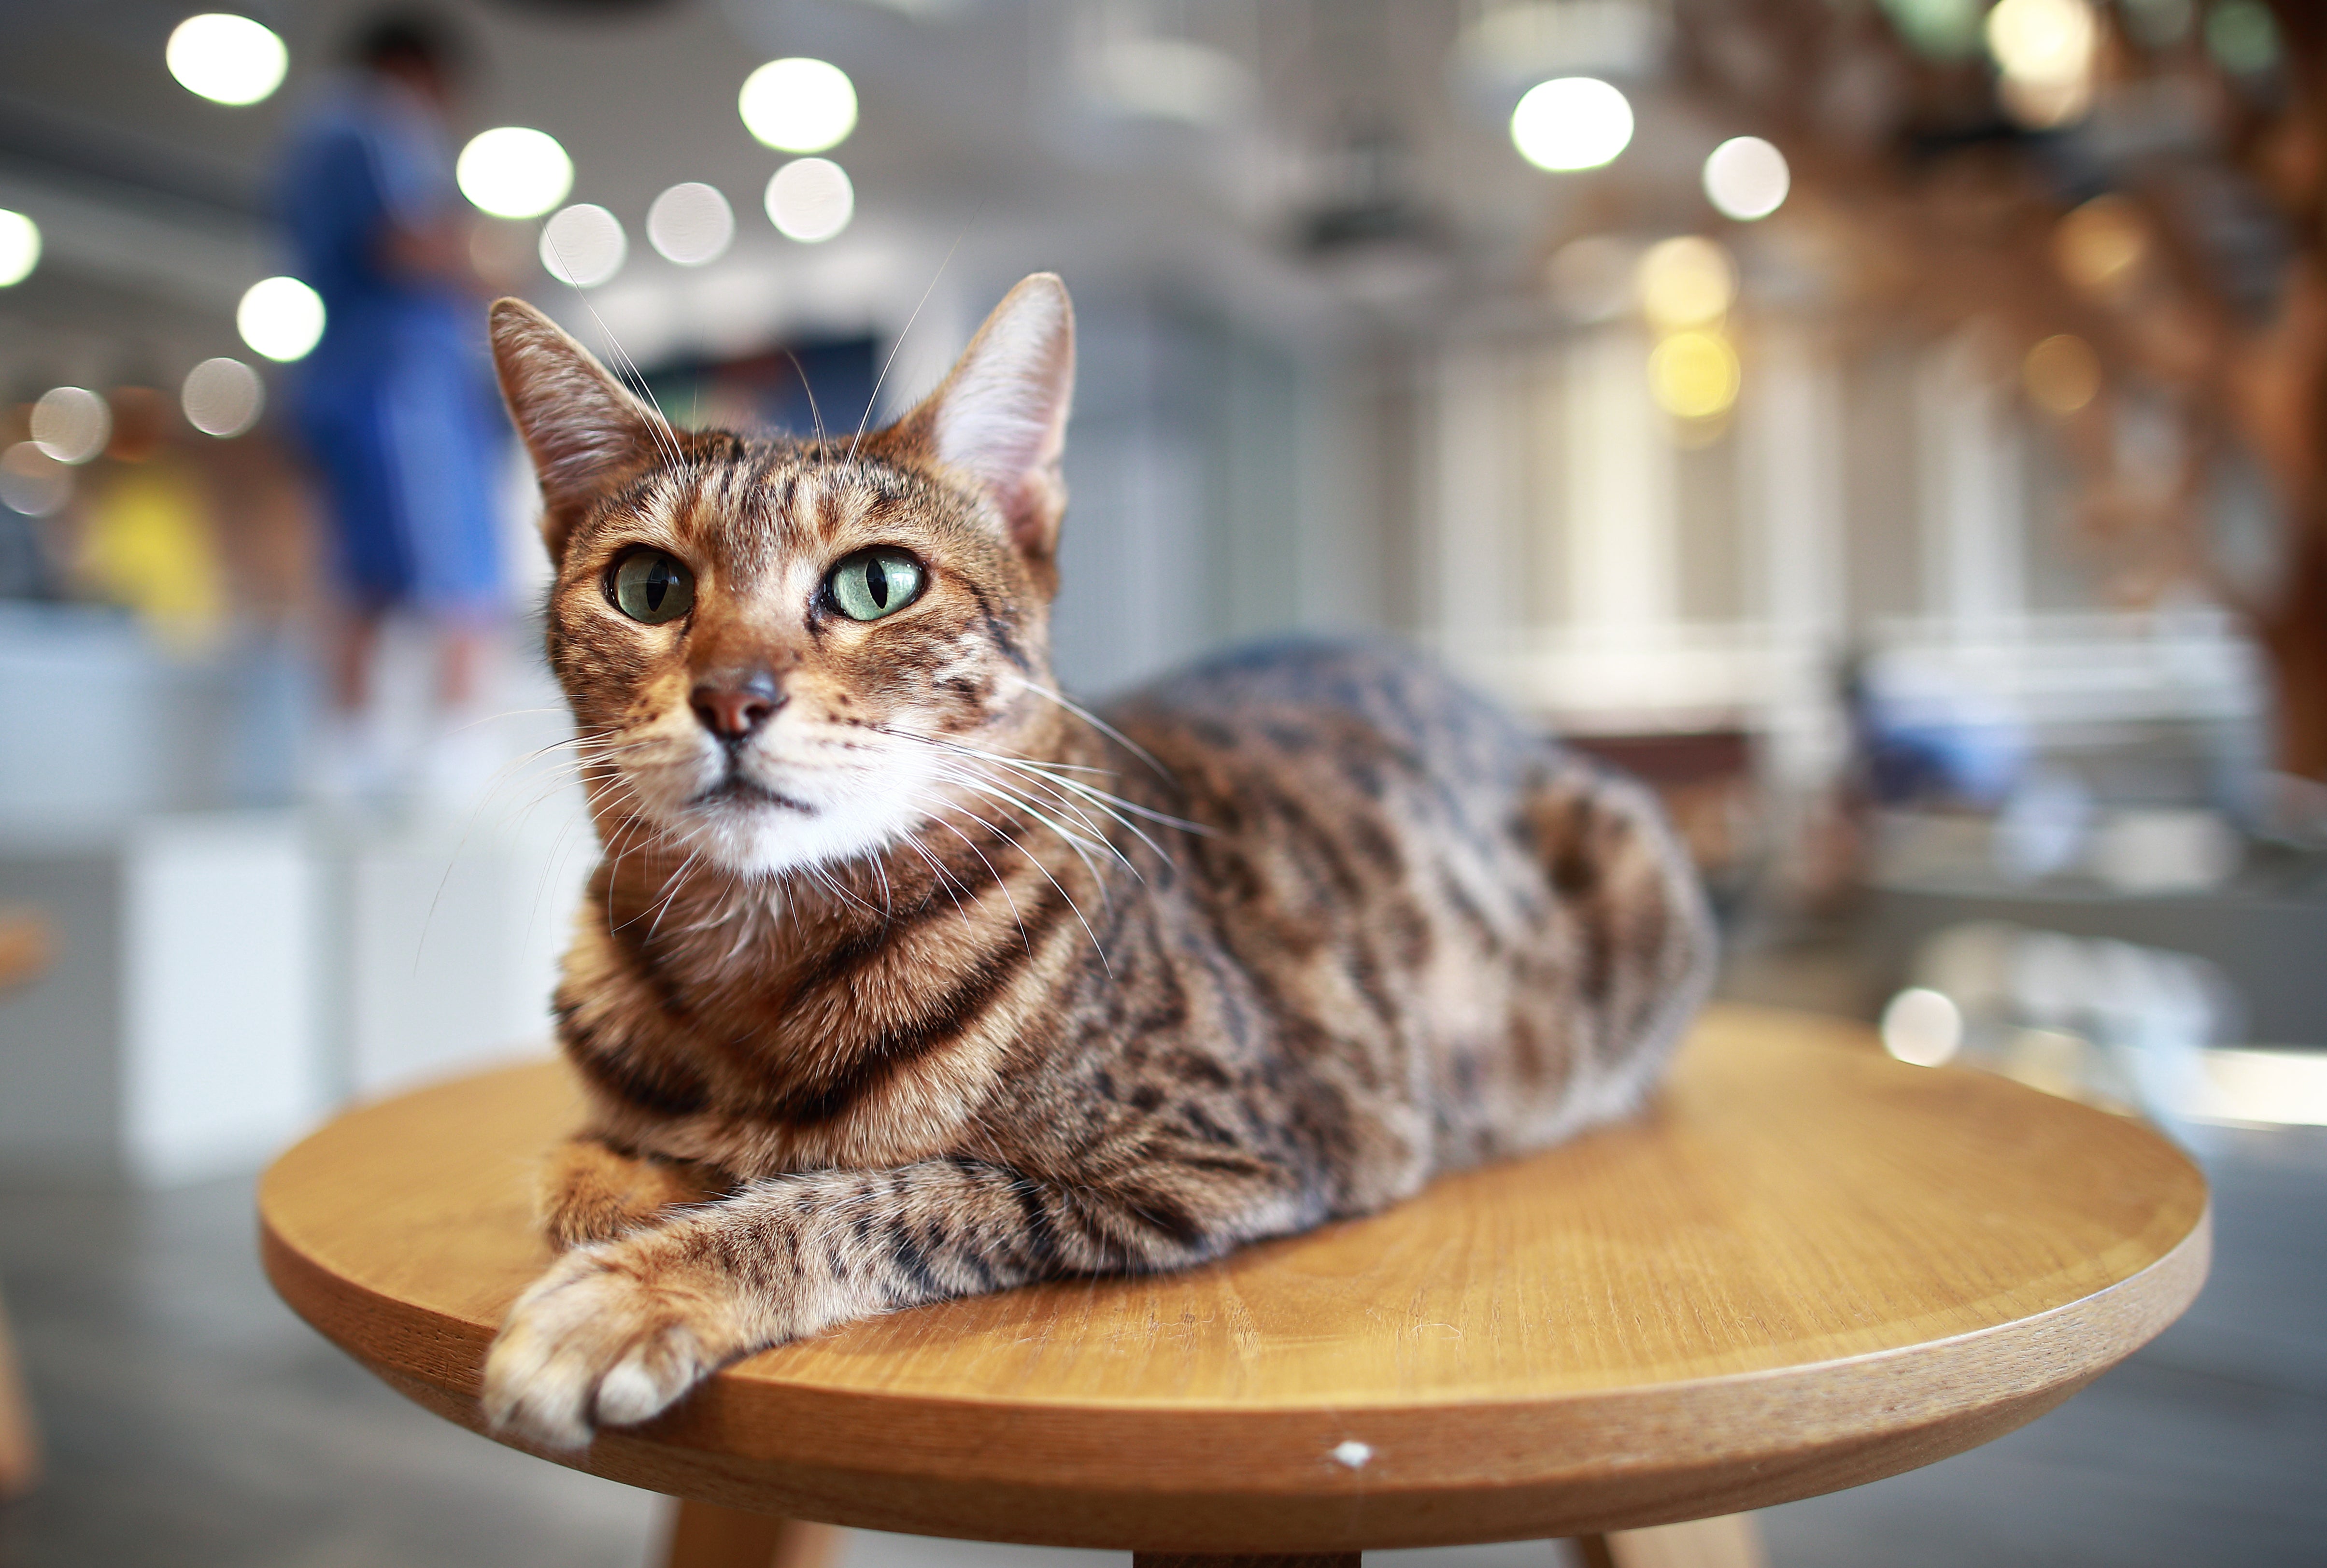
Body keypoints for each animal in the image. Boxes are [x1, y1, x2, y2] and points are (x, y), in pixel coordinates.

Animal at [477, 272, 1713, 1442]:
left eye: (879, 583)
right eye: (649, 587)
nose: (733, 696)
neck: (750, 972)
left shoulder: (1204, 1155)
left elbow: (871, 1196)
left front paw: (641, 1284)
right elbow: (584, 1168)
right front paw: (644, 1183)